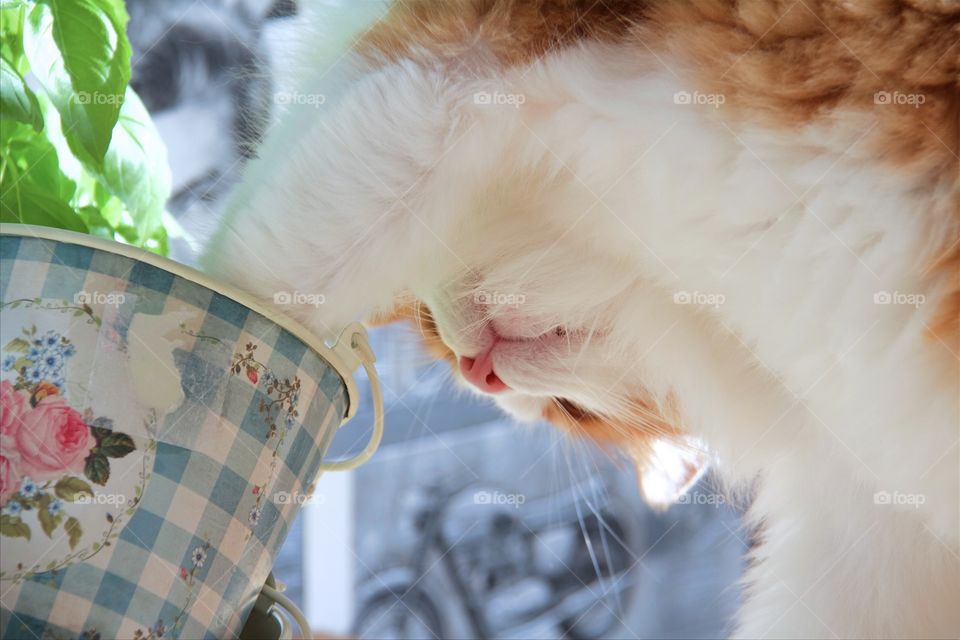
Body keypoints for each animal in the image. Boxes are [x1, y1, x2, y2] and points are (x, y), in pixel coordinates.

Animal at [202, 2, 960, 636]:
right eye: (437, 340)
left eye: (571, 412)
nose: (481, 376)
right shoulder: (862, 532)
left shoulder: (449, 64)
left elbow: (255, 282)